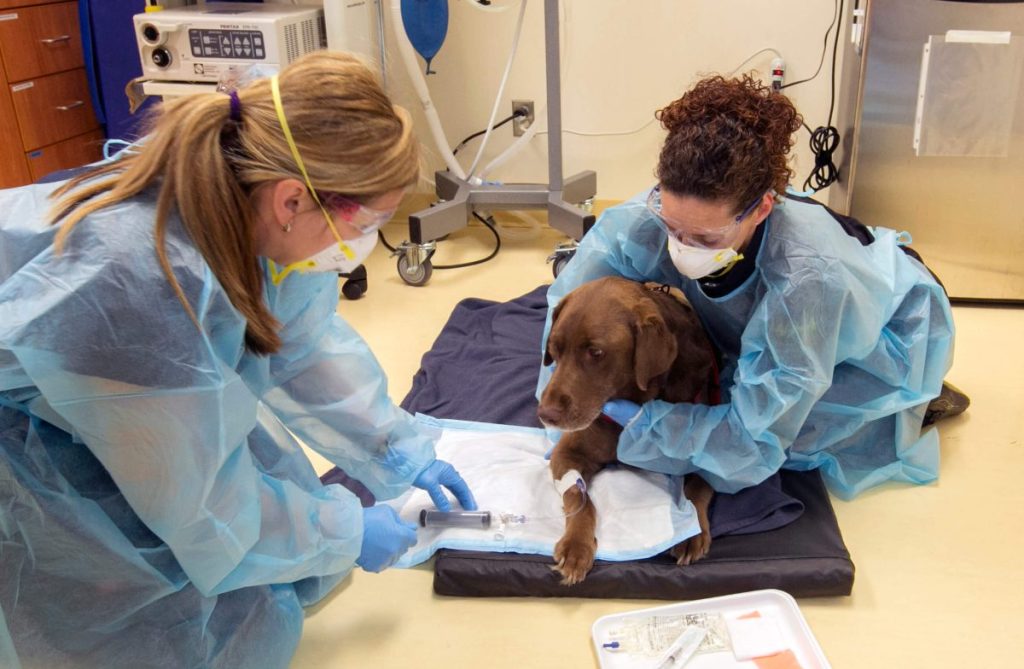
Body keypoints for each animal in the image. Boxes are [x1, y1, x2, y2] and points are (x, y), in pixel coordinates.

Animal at [536, 274, 720, 586]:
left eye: (596, 352)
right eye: (554, 348)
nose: (545, 414)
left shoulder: (714, 449)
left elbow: (697, 488)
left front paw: (693, 531)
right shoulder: (568, 452)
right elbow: (577, 495)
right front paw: (576, 546)